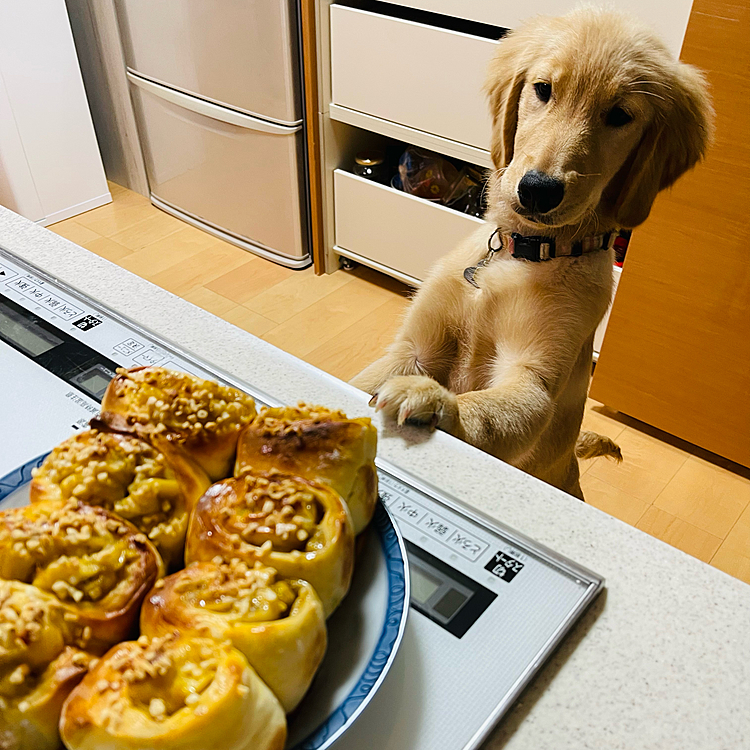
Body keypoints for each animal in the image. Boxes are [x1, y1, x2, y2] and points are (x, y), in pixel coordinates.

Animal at [352, 7, 716, 500]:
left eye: (620, 115)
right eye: (543, 89)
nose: (539, 190)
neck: (522, 252)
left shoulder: (534, 374)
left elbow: (491, 411)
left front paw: (437, 403)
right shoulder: (414, 348)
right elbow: (363, 380)